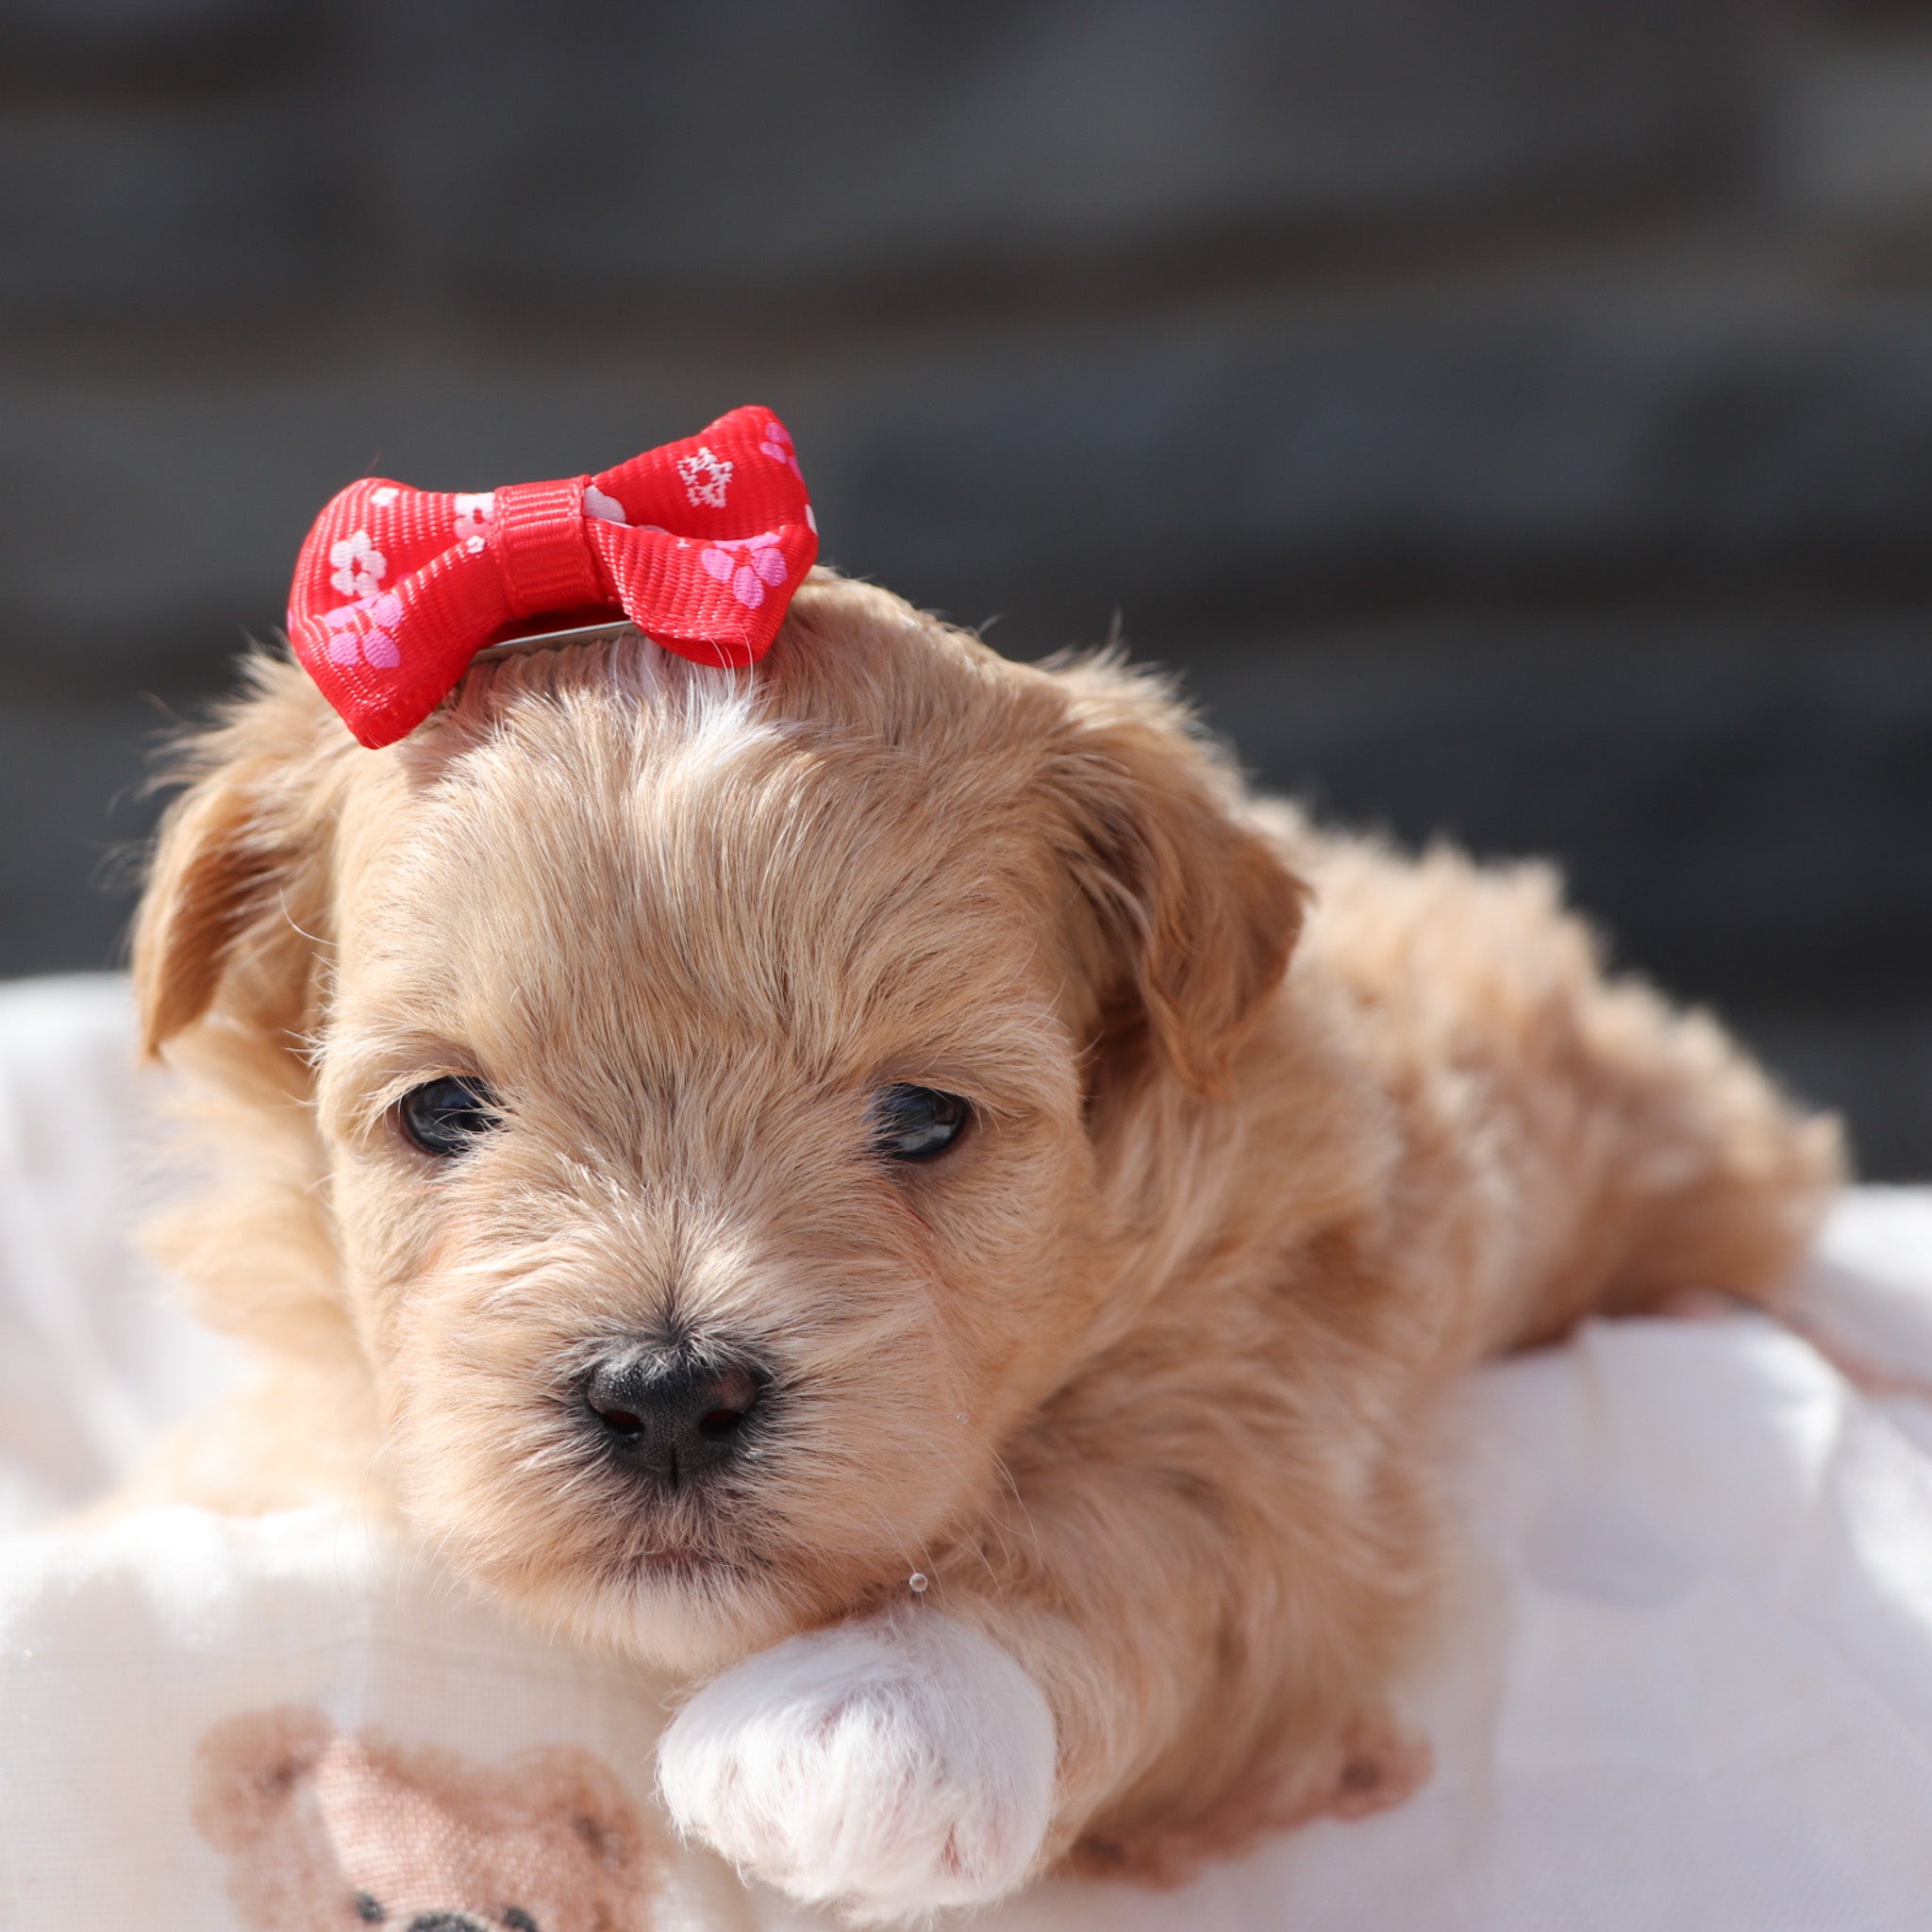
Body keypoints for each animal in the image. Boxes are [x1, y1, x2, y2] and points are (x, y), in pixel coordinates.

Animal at [128, 572, 1831, 1916]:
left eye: (924, 1117)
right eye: (441, 1109)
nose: (667, 1393)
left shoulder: (1294, 1399)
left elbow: (1152, 1512)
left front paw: (879, 1709)